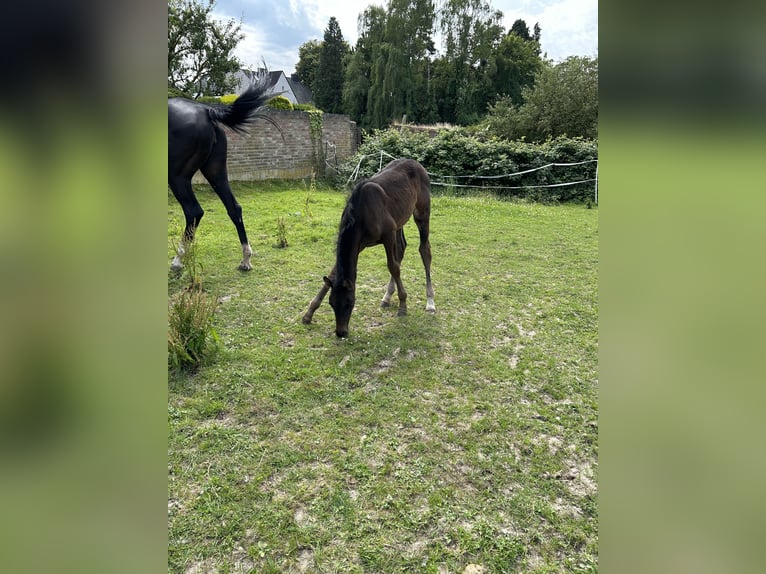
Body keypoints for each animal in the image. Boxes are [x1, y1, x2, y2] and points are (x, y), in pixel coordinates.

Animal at [169, 76, 280, 272]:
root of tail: (207, 111)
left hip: (177, 176)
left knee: (194, 212)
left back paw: (177, 260)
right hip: (216, 172)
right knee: (234, 208)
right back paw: (245, 260)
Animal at [306, 159, 438, 338]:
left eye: (349, 303)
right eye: (331, 303)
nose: (341, 332)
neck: (363, 213)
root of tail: (417, 164)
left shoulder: (388, 236)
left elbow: (393, 267)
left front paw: (403, 305)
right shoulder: (360, 244)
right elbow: (333, 273)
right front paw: (309, 312)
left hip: (422, 213)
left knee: (424, 250)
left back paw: (430, 301)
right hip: (399, 222)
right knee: (402, 248)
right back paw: (387, 297)